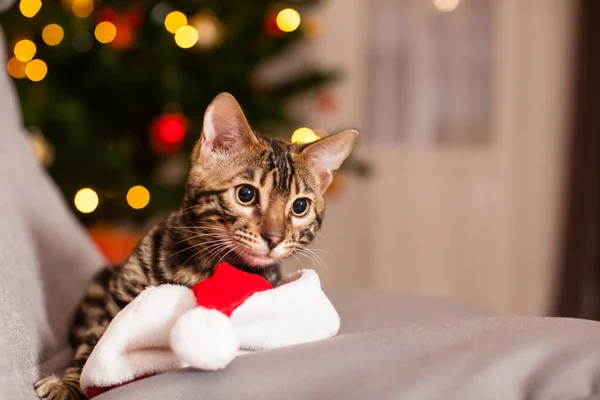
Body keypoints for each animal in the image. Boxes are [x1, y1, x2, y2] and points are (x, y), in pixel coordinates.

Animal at [32, 93, 356, 400]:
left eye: (300, 207)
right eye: (246, 194)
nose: (274, 238)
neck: (206, 265)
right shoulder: (116, 307)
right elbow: (93, 350)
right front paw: (67, 384)